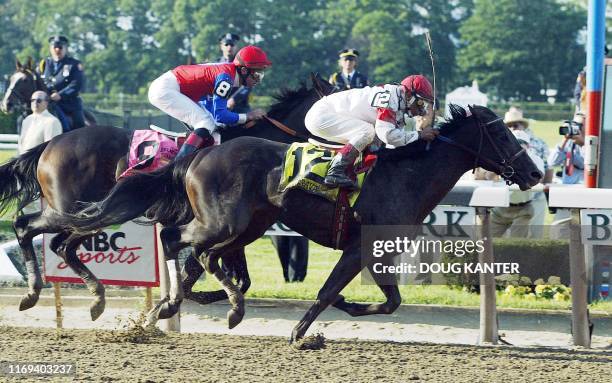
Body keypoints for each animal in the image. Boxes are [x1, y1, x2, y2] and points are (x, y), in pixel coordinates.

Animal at [0, 73, 334, 320]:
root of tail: (50, 143)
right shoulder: (217, 225)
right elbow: (202, 268)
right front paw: (175, 301)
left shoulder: (231, 227)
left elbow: (236, 277)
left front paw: (179, 300)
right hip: (70, 209)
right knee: (26, 226)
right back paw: (34, 291)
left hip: (89, 214)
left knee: (61, 244)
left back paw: (94, 297)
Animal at [59, 105, 544, 340]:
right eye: (502, 134)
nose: (536, 173)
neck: (407, 174)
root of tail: (197, 155)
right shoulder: (359, 248)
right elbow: (331, 291)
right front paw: (300, 332)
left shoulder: (378, 253)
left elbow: (390, 301)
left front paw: (347, 307)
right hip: (225, 222)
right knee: (180, 239)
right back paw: (209, 304)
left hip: (249, 225)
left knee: (197, 254)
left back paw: (183, 303)